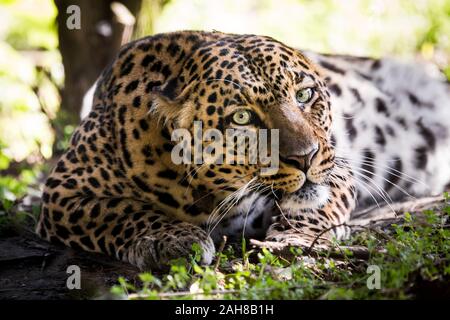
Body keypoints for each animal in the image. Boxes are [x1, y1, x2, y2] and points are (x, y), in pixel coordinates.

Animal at [36, 30, 450, 270]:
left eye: (304, 95)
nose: (306, 157)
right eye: (242, 117)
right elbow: (117, 211)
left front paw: (295, 240)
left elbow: (314, 207)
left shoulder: (339, 165)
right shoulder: (61, 192)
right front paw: (169, 239)